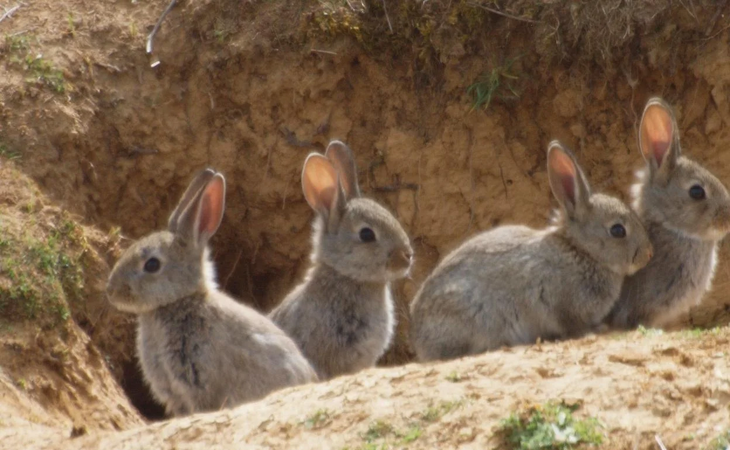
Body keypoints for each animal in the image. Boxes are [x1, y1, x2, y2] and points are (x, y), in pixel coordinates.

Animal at [409, 141, 653, 362]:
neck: (582, 251)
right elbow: (573, 326)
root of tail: (419, 338)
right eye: (618, 230)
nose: (648, 254)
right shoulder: (563, 305)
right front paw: (596, 330)